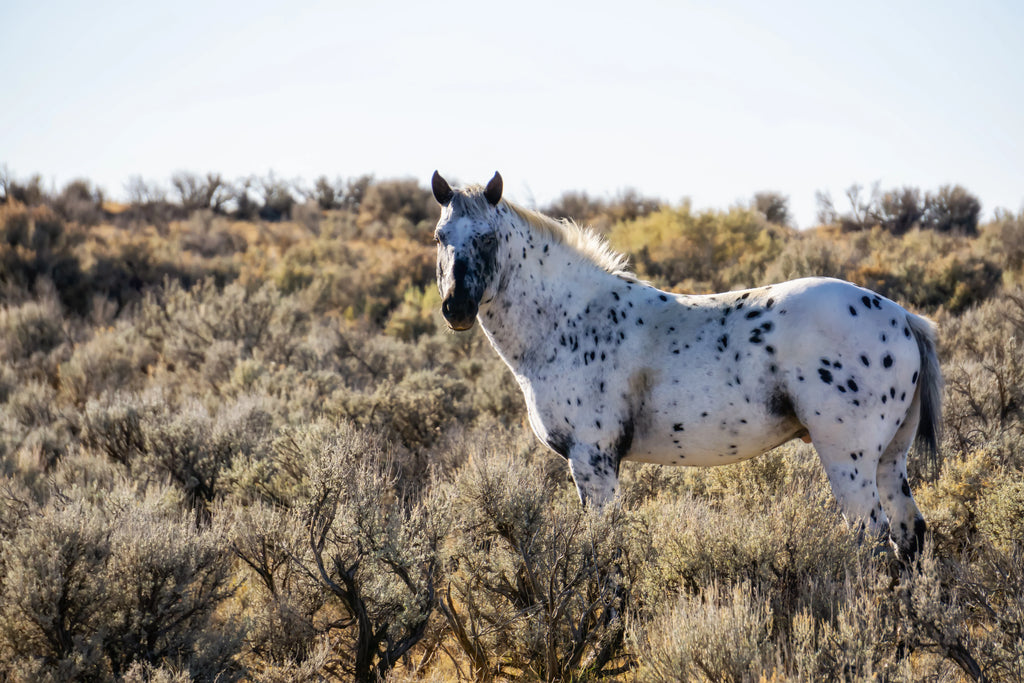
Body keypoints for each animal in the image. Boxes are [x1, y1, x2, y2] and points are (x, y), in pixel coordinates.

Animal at [430, 170, 942, 561]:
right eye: (440, 237)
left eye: (488, 238)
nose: (456, 309)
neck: (570, 319)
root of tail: (902, 316)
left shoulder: (593, 460)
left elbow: (607, 551)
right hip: (890, 458)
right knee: (909, 534)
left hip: (848, 460)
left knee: (873, 537)